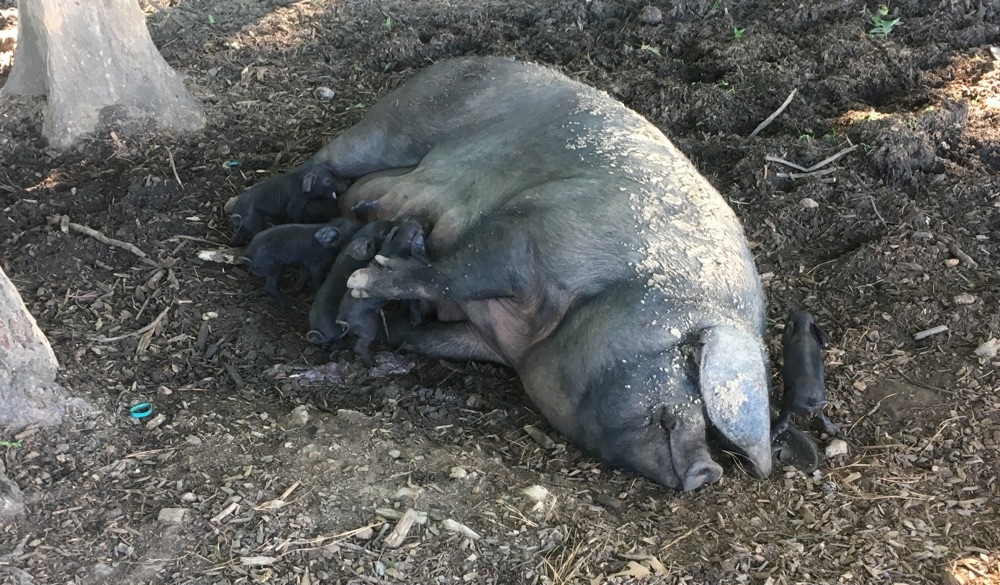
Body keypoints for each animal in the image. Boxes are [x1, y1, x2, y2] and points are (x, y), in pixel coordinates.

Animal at [286, 58, 776, 488]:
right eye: (690, 365)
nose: (709, 471)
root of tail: (455, 62)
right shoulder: (531, 229)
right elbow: (458, 270)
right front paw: (365, 281)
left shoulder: (488, 339)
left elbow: (434, 337)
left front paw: (394, 322)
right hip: (392, 126)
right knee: (321, 161)